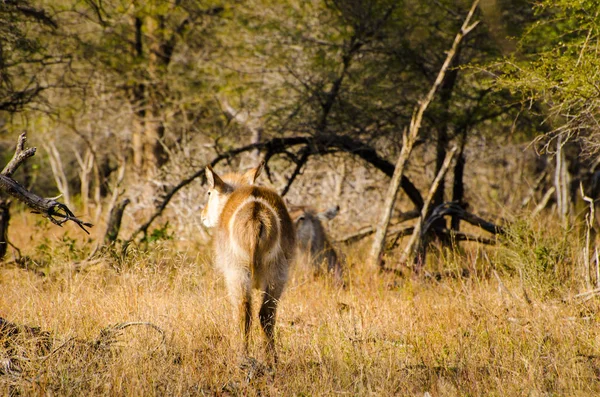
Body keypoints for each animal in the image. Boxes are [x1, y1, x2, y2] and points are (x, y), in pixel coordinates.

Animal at [202, 160, 296, 362]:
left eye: (209, 192)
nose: (203, 216)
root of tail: (255, 209)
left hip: (237, 272)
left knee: (244, 311)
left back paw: (242, 356)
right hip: (278, 273)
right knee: (266, 313)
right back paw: (272, 360)